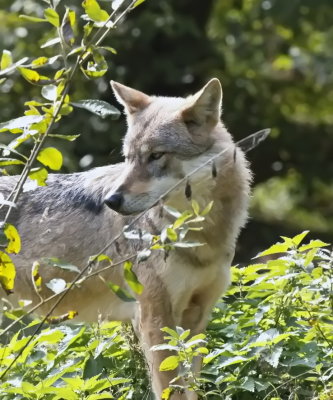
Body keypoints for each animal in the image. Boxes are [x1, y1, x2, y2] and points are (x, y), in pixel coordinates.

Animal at [0, 79, 249, 400]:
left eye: (156, 156)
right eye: (129, 158)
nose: (111, 200)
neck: (199, 238)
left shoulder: (196, 319)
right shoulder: (154, 318)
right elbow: (171, 390)